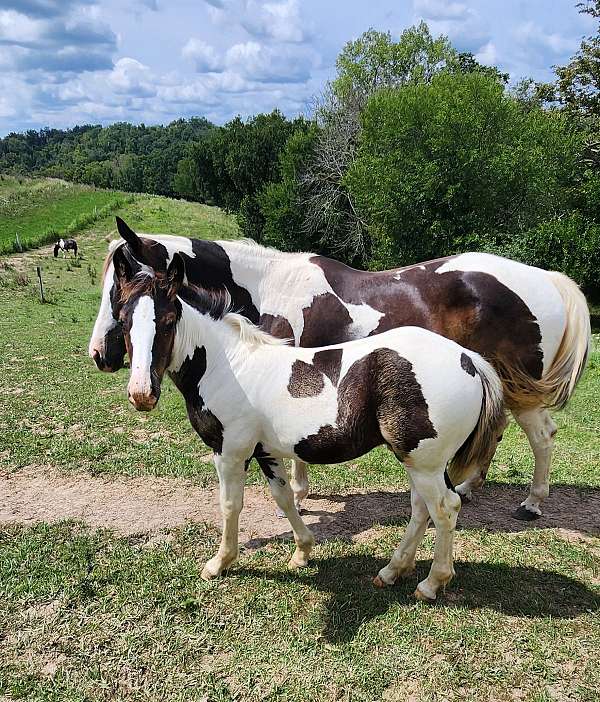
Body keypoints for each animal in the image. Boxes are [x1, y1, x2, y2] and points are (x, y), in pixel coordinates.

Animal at [90, 220, 592, 524]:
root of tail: (547, 278)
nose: (100, 354)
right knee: (499, 431)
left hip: (520, 388)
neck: (268, 286)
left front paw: (296, 495)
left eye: (120, 285)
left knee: (541, 435)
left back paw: (532, 502)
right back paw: (470, 487)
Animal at [113, 250, 506, 604]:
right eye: (123, 318)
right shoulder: (266, 452)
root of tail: (469, 359)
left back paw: (431, 583)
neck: (229, 366)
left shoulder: (230, 452)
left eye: (168, 320)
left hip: (424, 462)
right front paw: (302, 552)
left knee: (445, 508)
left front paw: (218, 563)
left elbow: (229, 504)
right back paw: (391, 571)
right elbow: (285, 498)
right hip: (420, 461)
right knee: (421, 509)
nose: (142, 394)